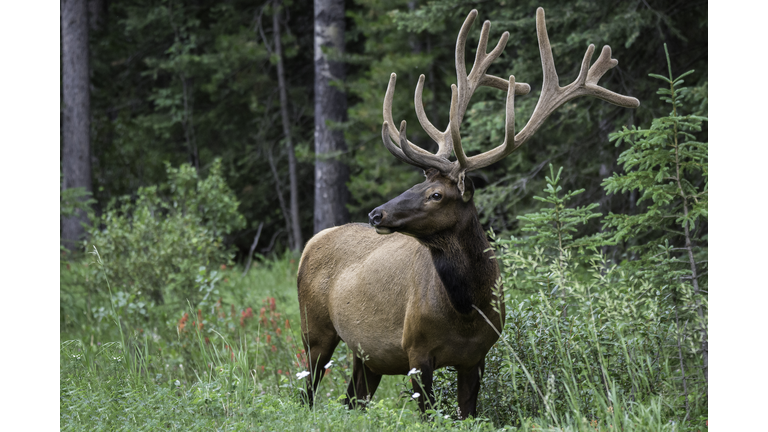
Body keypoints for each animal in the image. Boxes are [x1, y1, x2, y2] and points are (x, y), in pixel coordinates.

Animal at [296, 7, 640, 418]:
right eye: (417, 186)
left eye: (435, 194)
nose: (377, 214)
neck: (466, 311)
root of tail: (311, 242)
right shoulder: (415, 350)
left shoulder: (478, 355)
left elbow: (468, 412)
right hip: (315, 330)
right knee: (305, 393)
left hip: (366, 356)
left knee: (352, 400)